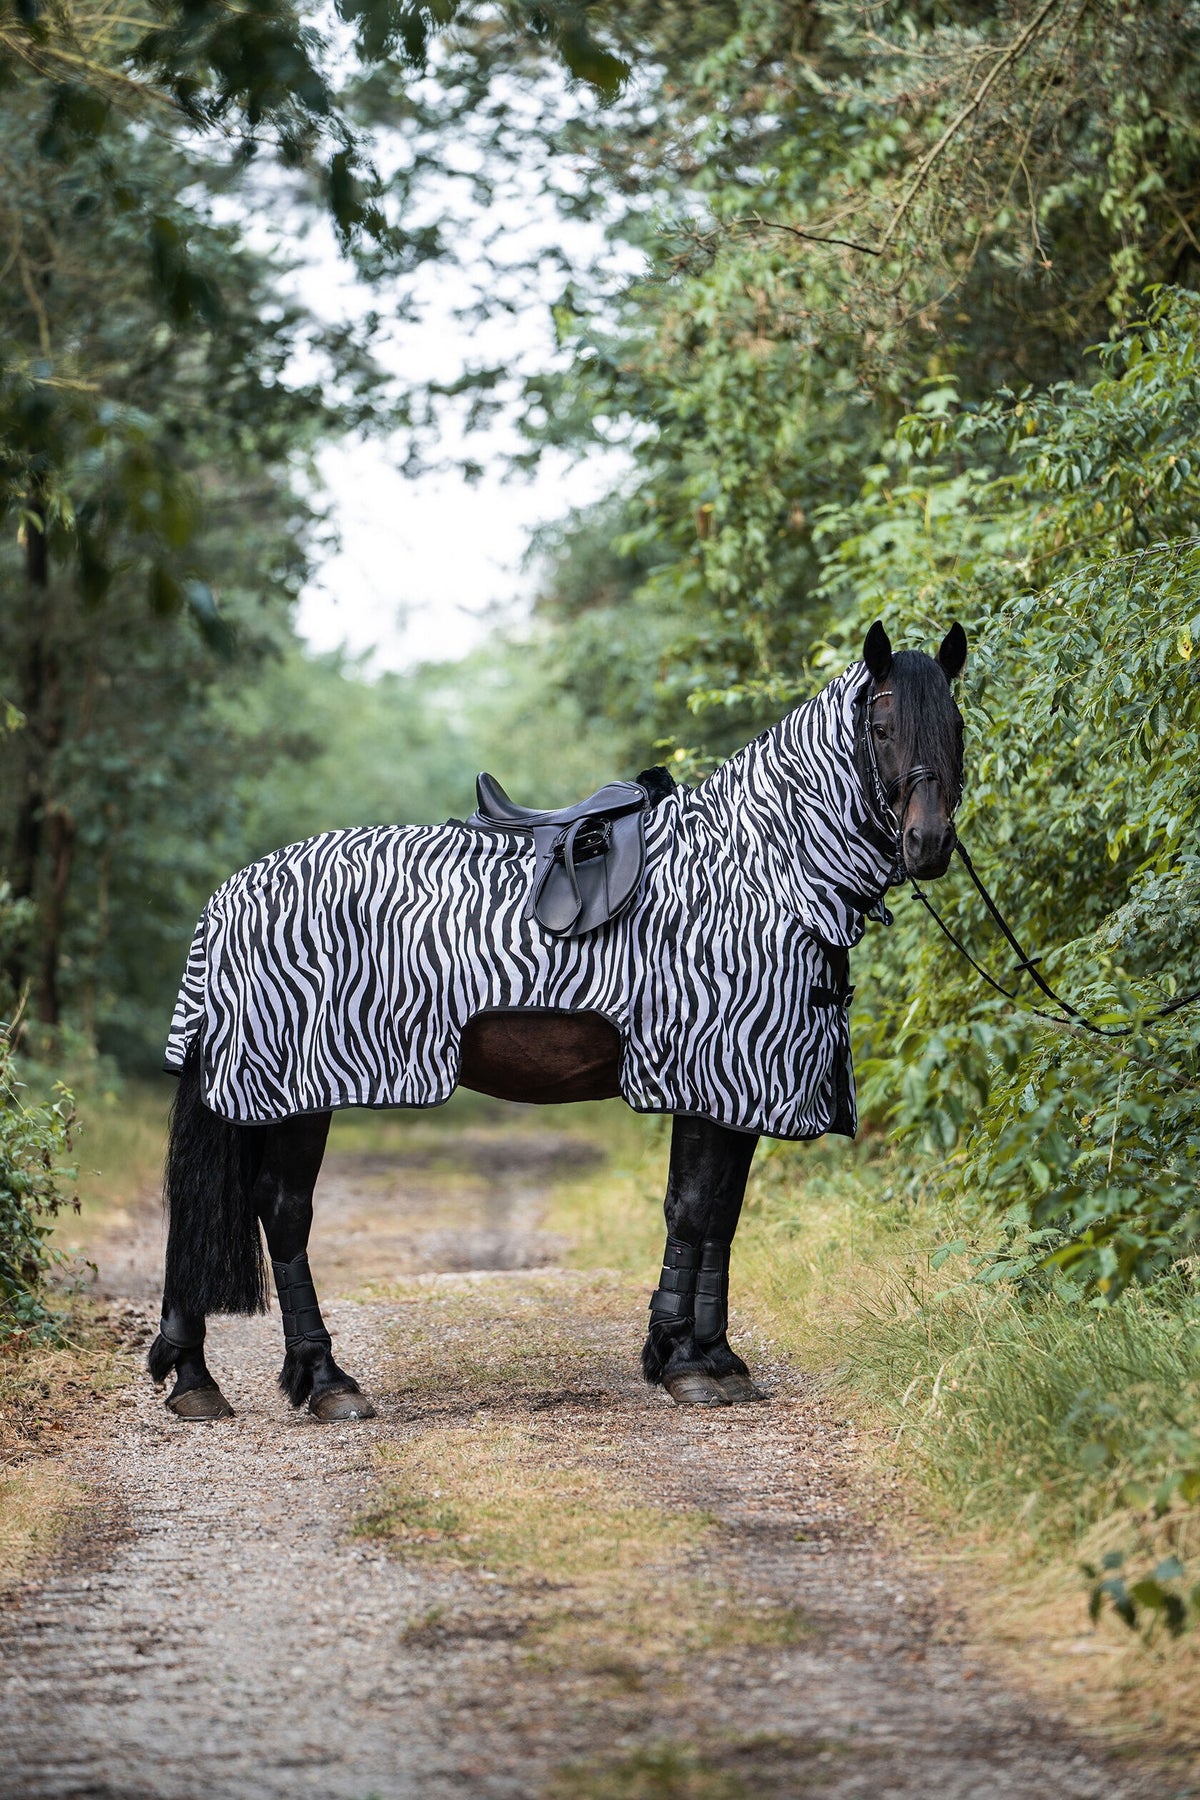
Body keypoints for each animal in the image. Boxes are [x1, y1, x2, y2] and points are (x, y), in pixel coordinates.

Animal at [149, 619, 967, 1415]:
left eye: (956, 725)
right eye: (883, 726)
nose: (928, 845)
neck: (757, 870)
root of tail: (229, 895)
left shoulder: (737, 1092)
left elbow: (722, 1217)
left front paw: (717, 1358)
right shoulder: (705, 1075)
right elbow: (692, 1210)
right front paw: (682, 1362)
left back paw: (194, 1377)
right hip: (299, 1091)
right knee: (282, 1212)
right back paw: (322, 1380)